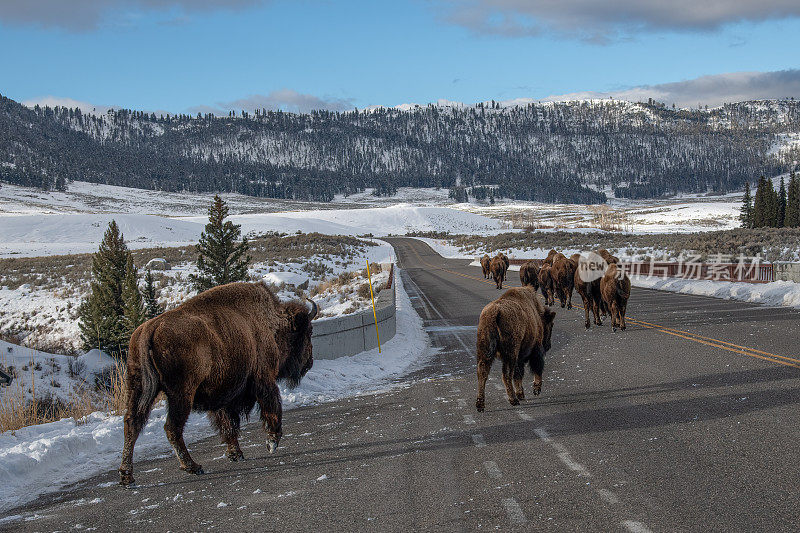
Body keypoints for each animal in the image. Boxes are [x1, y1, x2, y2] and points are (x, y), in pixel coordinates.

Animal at [120, 280, 318, 484]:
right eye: (308, 332)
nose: (309, 362)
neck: (271, 323)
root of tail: (149, 329)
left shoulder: (225, 395)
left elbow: (228, 424)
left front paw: (236, 454)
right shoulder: (264, 379)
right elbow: (271, 407)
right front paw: (272, 442)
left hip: (138, 388)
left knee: (132, 424)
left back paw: (127, 476)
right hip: (181, 394)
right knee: (172, 427)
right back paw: (193, 466)